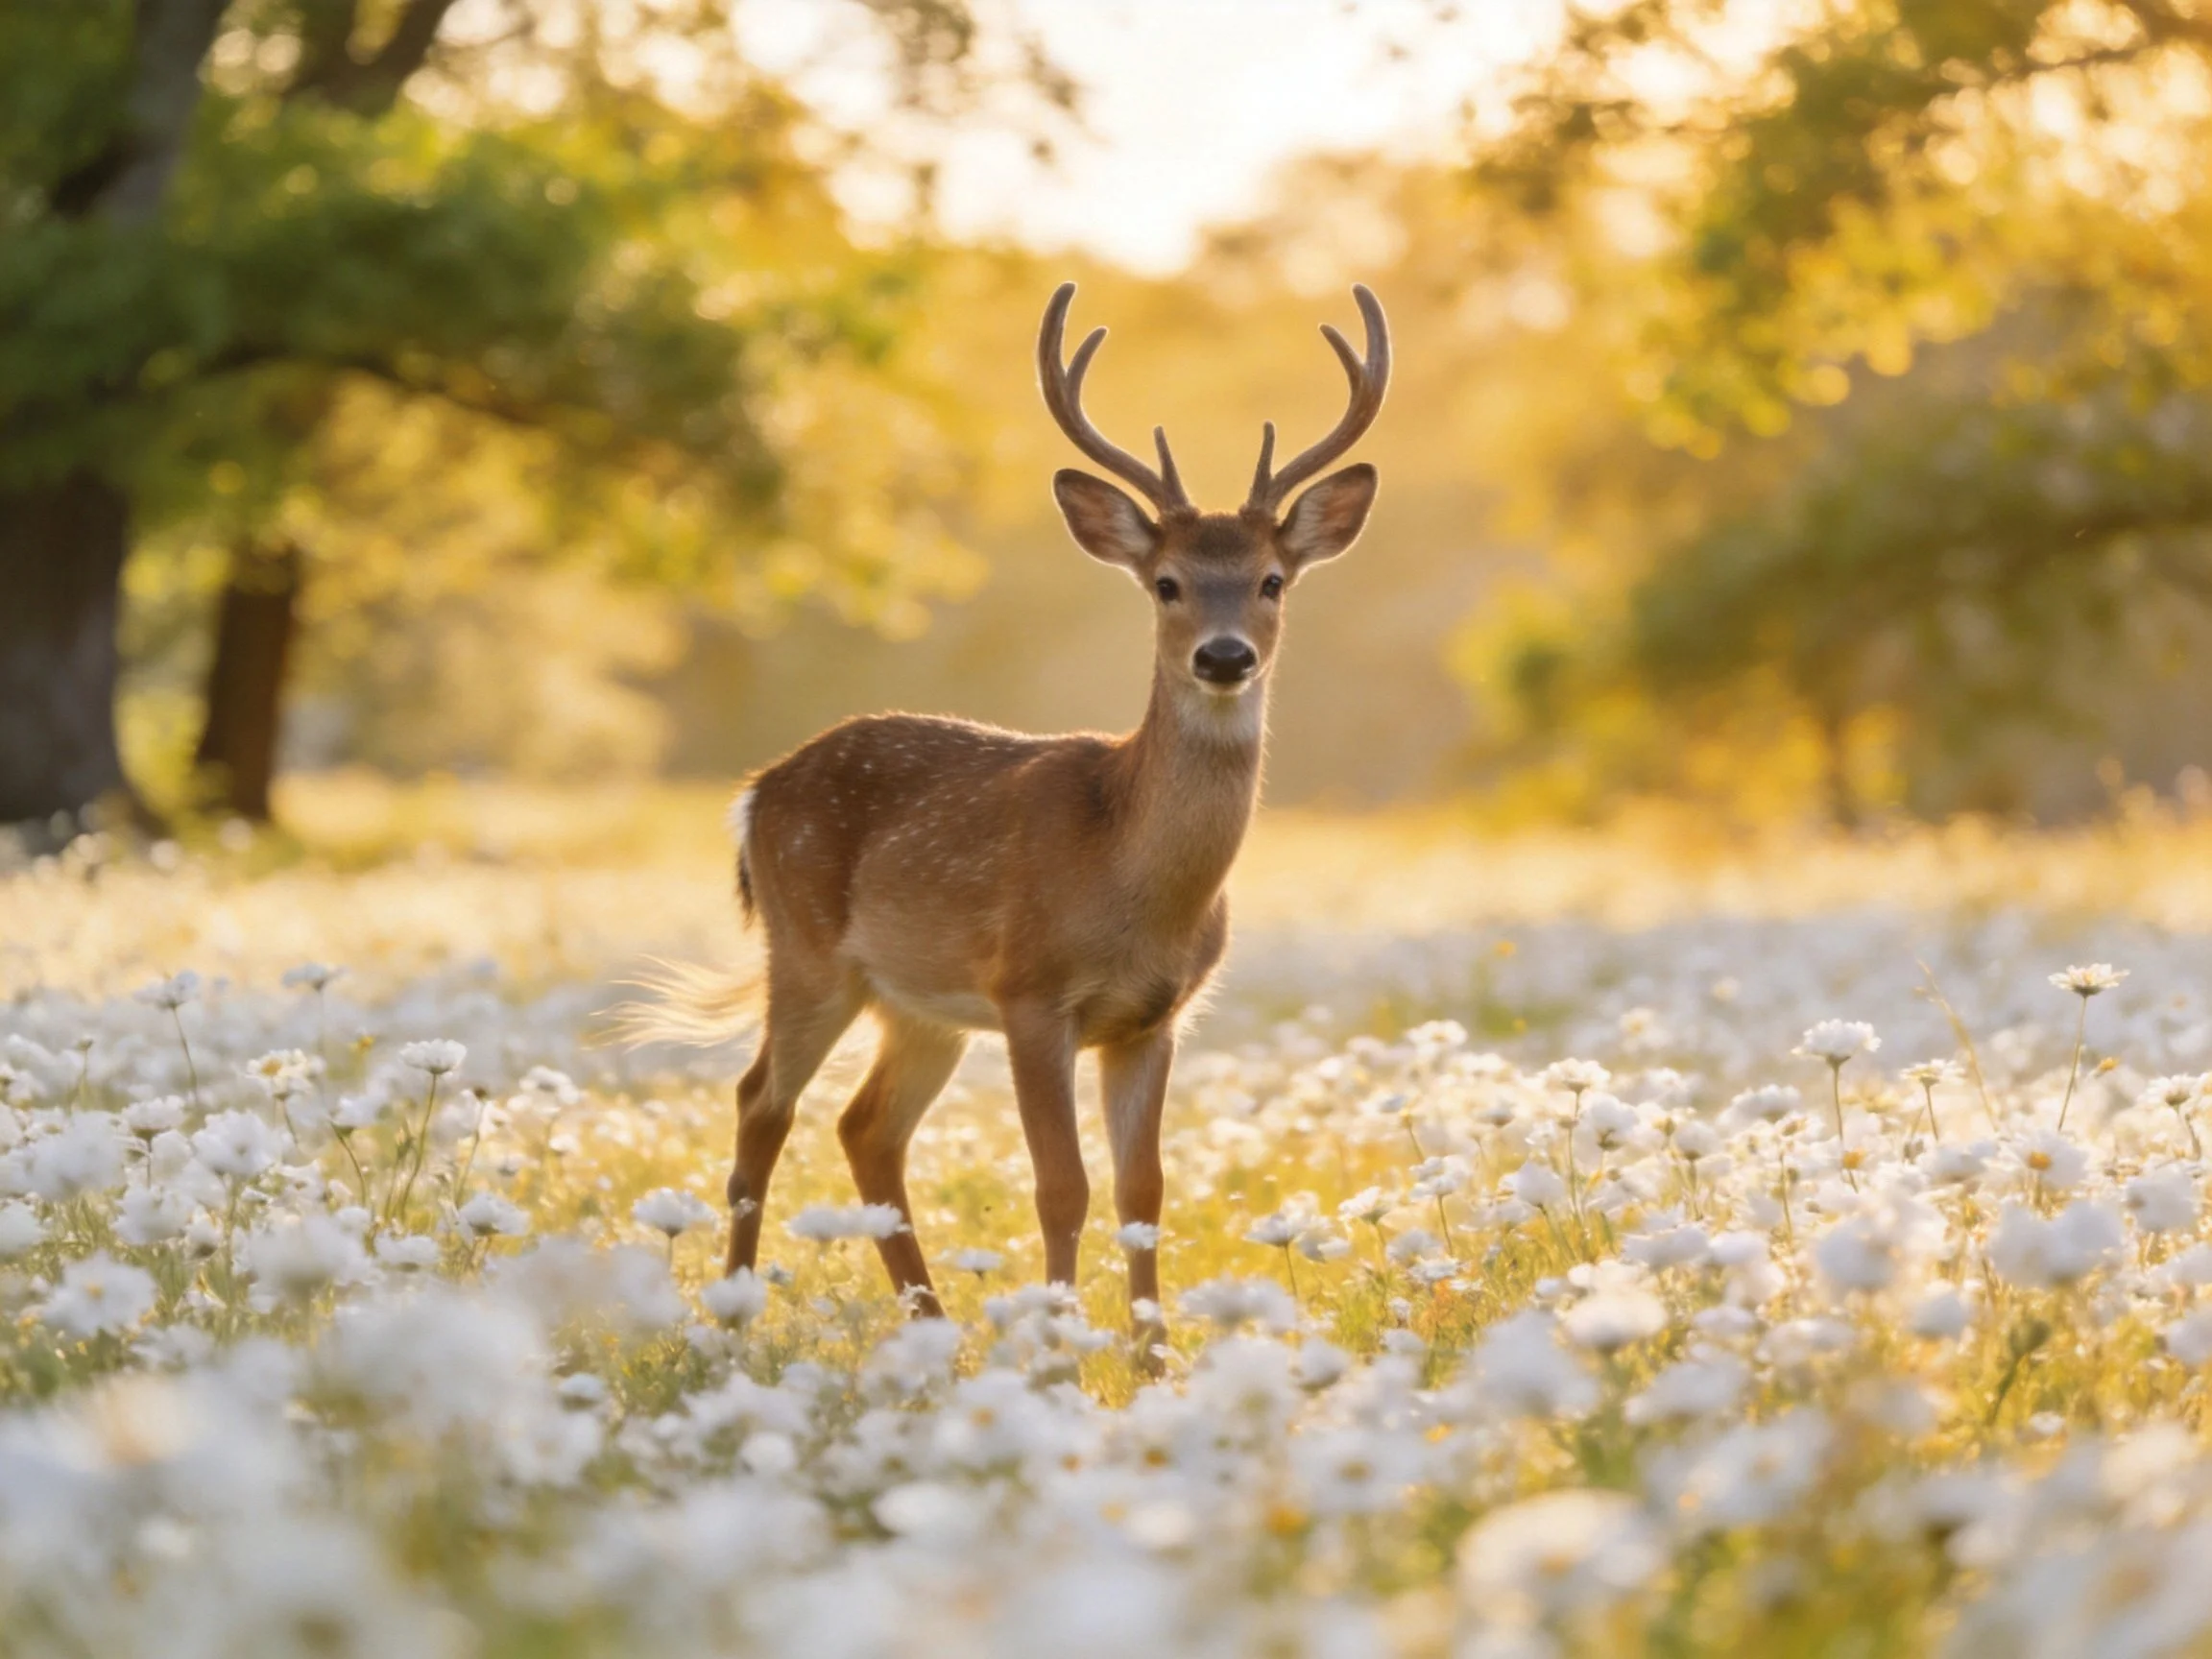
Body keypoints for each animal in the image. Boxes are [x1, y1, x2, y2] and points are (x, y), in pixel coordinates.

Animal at [718, 280, 1389, 1344]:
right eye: (1167, 584)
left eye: (1273, 581)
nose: (1225, 656)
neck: (1127, 879)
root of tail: (755, 790)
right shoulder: (1030, 993)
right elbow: (1060, 1187)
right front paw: (1062, 1350)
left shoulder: (1154, 1016)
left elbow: (1142, 1190)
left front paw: (1154, 1359)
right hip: (810, 950)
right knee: (760, 1106)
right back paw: (733, 1319)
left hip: (920, 1004)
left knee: (865, 1126)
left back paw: (934, 1327)